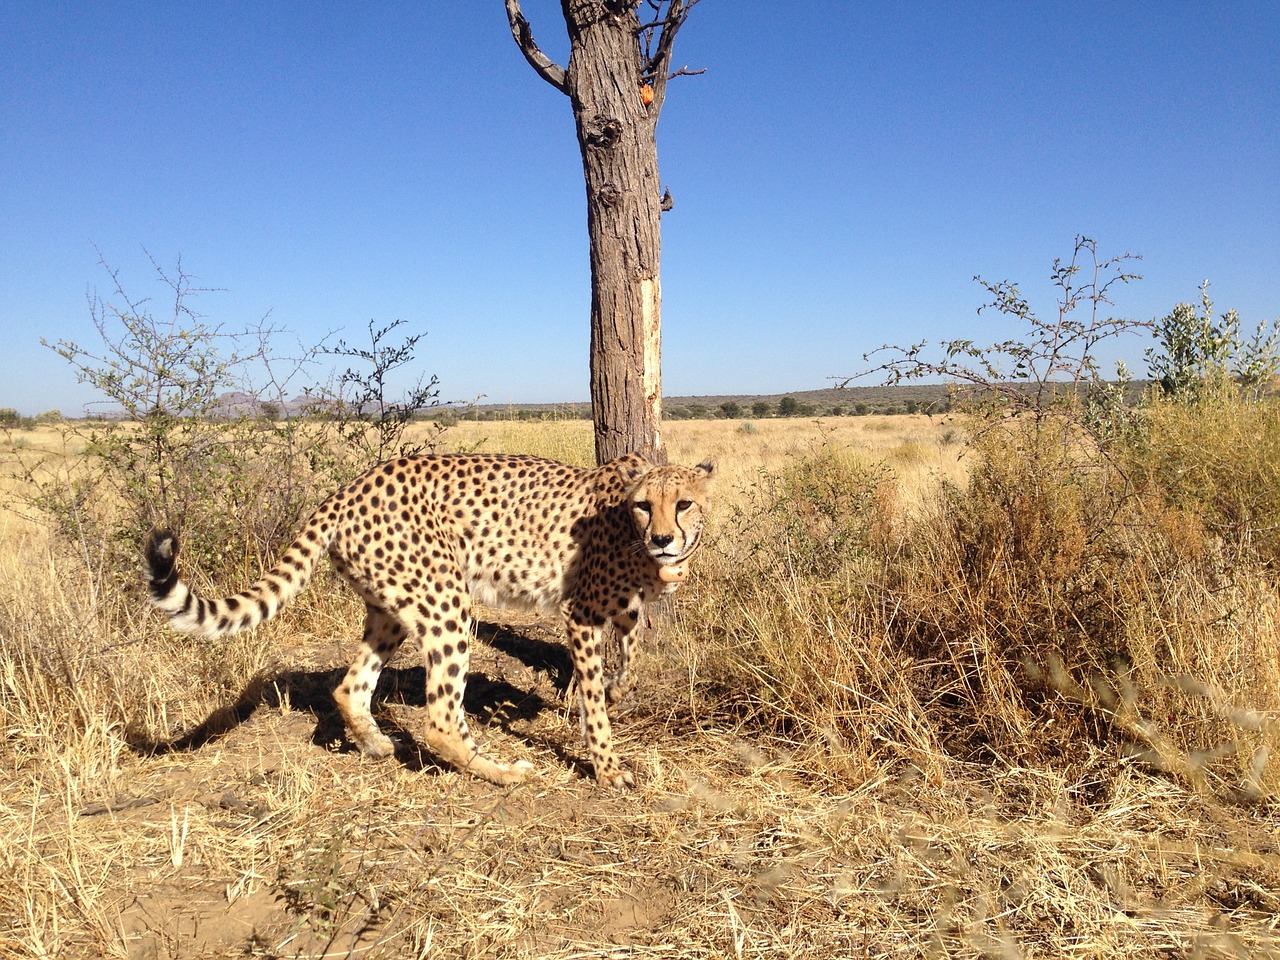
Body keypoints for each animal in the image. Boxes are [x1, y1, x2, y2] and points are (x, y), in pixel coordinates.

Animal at [147, 450, 721, 788]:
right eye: (645, 506)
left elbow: (633, 648)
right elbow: (598, 701)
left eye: (684, 504)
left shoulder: (621, 606)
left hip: (392, 610)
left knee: (350, 687)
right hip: (448, 601)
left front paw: (615, 688)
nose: (662, 539)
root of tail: (348, 488)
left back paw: (379, 744)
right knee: (440, 719)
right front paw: (606, 765)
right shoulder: (580, 611)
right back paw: (503, 772)